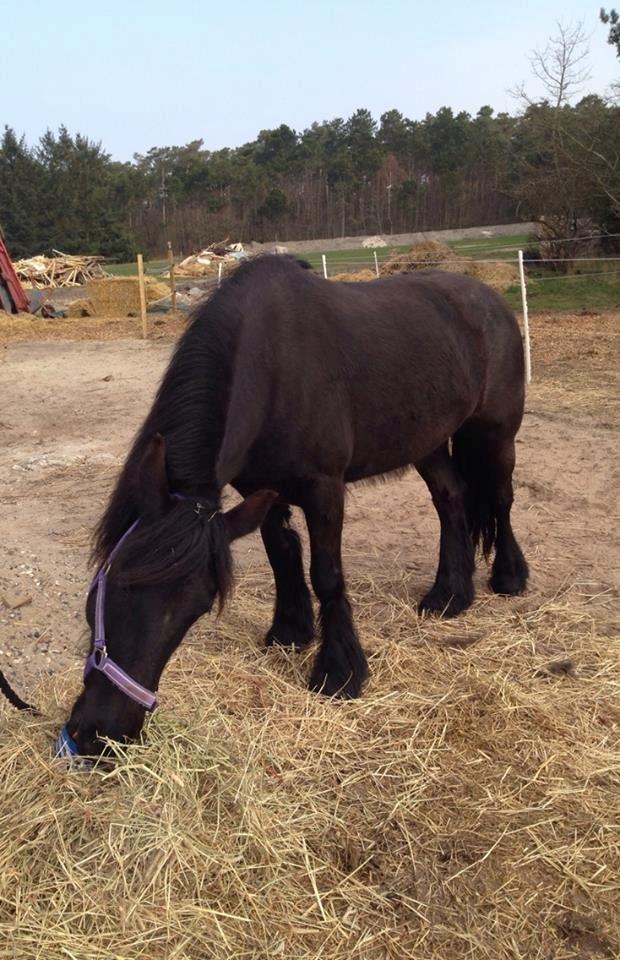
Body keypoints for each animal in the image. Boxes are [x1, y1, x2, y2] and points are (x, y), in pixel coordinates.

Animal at [65, 255, 528, 755]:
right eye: (110, 586)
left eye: (197, 609)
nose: (100, 733)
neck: (272, 366)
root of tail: (490, 299)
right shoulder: (261, 491)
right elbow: (282, 555)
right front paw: (290, 631)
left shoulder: (323, 489)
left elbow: (326, 575)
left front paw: (339, 672)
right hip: (426, 442)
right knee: (451, 499)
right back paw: (449, 596)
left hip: (495, 433)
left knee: (501, 500)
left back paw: (509, 577)